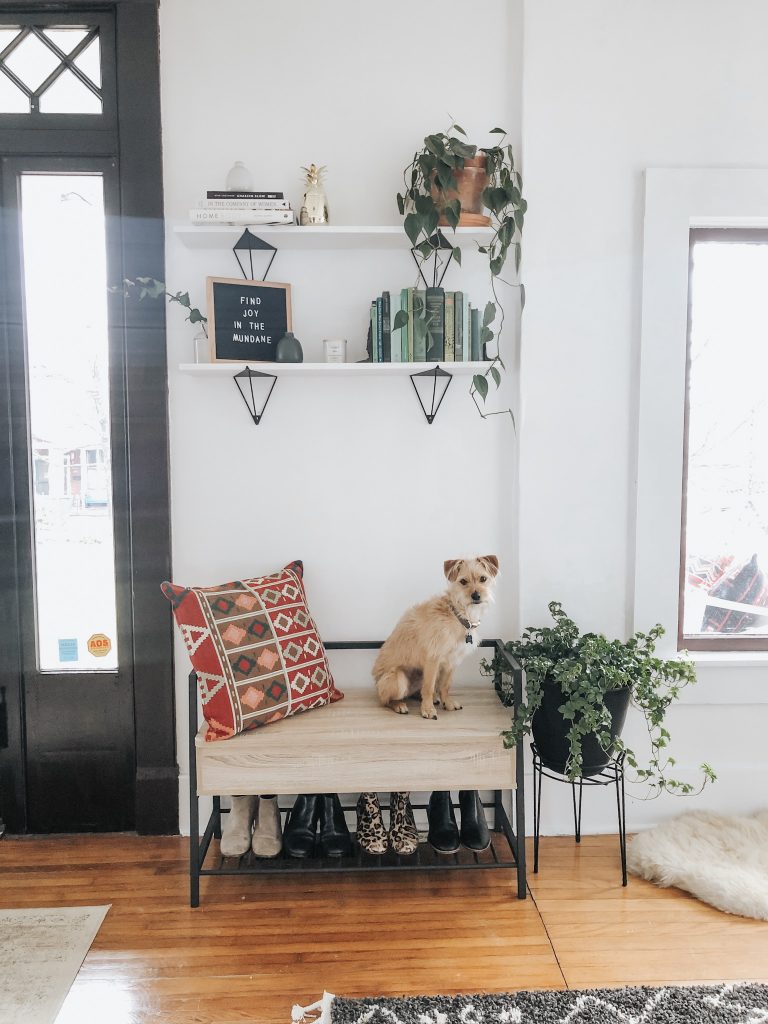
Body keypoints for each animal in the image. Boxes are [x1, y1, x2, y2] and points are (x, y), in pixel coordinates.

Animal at [372, 557, 499, 716]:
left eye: (483, 579)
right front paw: (427, 709)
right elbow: (429, 687)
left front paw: (447, 703)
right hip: (398, 679)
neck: (457, 615)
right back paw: (399, 705)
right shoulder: (433, 659)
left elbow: (445, 686)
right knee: (386, 700)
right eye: (463, 581)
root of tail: (376, 684)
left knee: (415, 692)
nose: (476, 596)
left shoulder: (451, 662)